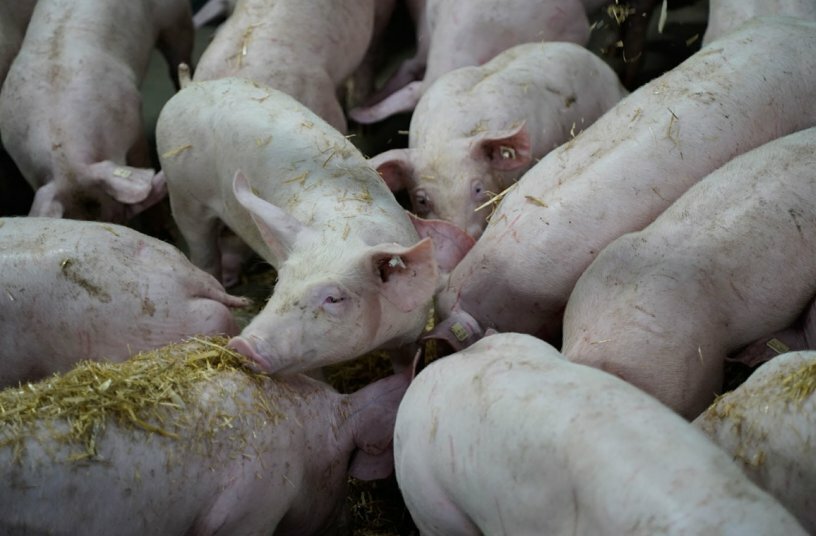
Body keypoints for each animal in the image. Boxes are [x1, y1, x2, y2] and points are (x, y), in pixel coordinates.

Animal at [0, 0, 194, 221]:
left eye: (112, 208)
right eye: (74, 218)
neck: (63, 154)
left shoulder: (133, 114)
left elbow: (140, 156)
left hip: (176, 17)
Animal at [156, 78, 470, 375]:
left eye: (333, 298)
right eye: (280, 283)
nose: (244, 345)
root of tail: (190, 87)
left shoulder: (410, 334)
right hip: (183, 196)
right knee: (202, 249)